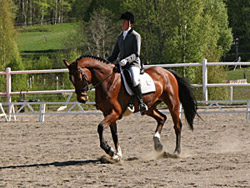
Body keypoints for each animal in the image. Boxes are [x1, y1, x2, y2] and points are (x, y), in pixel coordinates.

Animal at [63, 55, 198, 161]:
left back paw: (176, 152)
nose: (82, 99)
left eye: (80, 77)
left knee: (177, 125)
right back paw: (157, 144)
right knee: (162, 118)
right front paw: (117, 155)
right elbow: (114, 134)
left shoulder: (115, 113)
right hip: (149, 108)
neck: (107, 81)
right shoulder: (108, 113)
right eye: (70, 79)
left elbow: (100, 127)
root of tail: (167, 72)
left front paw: (109, 150)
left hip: (172, 104)